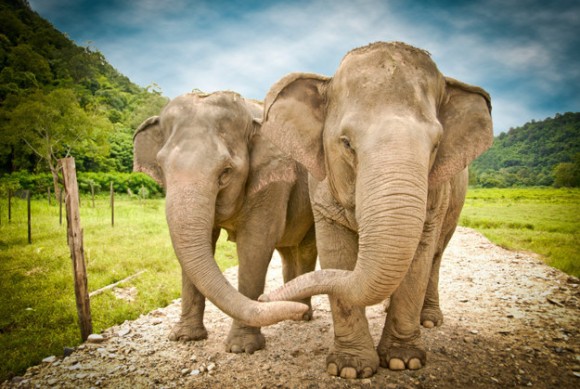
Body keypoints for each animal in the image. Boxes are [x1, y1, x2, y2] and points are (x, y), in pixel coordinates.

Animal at [133, 91, 318, 354]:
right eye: (161, 167)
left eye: (226, 172)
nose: (263, 301)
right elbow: (203, 243)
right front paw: (185, 337)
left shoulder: (273, 180)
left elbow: (255, 244)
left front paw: (242, 348)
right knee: (288, 251)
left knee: (306, 249)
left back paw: (302, 315)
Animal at [258, 41, 494, 376]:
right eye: (346, 143)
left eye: (436, 145)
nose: (263, 298)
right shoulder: (321, 184)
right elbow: (337, 255)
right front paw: (349, 369)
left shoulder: (436, 193)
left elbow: (419, 258)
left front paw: (402, 361)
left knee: (436, 256)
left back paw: (430, 320)